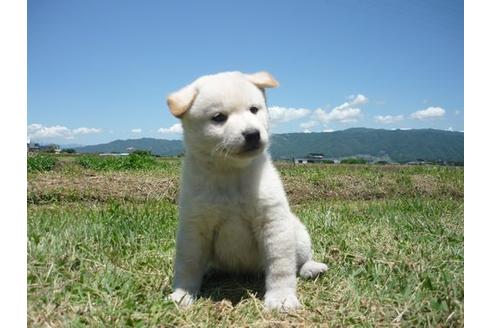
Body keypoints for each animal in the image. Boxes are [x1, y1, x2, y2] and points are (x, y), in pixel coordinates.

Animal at [165, 71, 326, 310]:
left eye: (254, 109)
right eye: (218, 117)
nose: (252, 134)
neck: (231, 173)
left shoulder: (272, 222)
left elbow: (280, 267)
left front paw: (281, 298)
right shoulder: (194, 226)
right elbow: (188, 264)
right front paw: (182, 294)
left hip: (298, 234)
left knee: (299, 260)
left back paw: (311, 268)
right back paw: (209, 270)